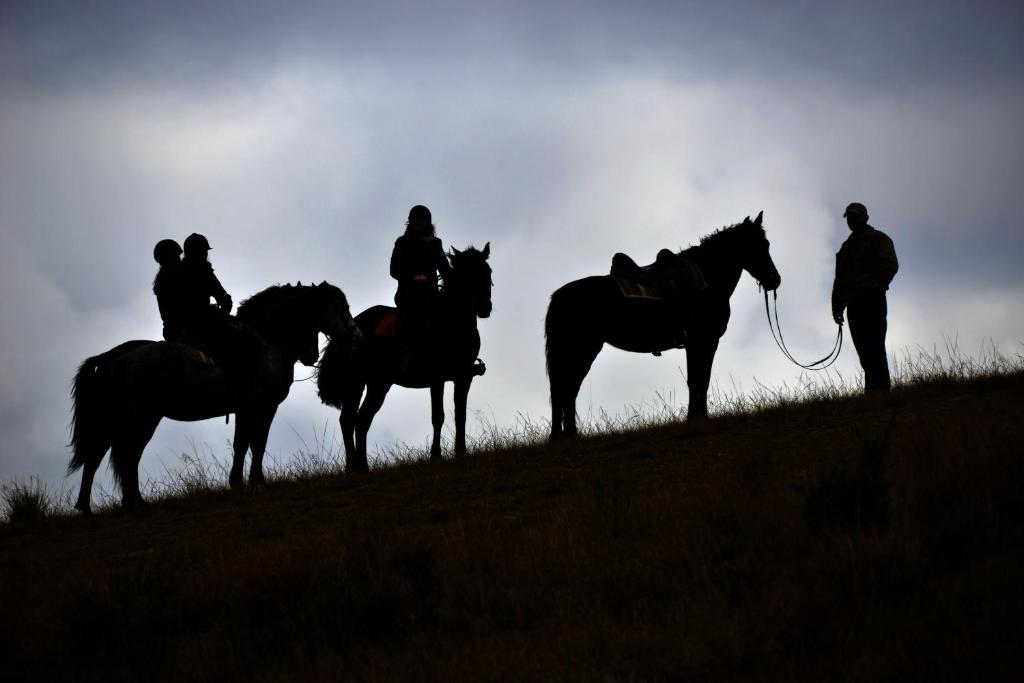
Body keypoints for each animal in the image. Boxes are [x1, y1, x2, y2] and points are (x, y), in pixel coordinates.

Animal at [68, 278, 360, 511]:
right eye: (340, 306)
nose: (356, 336)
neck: (269, 345)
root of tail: (114, 359)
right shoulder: (262, 407)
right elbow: (256, 443)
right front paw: (254, 482)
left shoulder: (247, 410)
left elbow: (245, 445)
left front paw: (242, 483)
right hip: (142, 419)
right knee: (129, 455)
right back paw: (134, 502)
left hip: (113, 420)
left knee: (97, 458)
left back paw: (89, 507)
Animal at [319, 242, 495, 473]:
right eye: (467, 275)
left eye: (487, 271)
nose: (484, 308)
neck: (452, 323)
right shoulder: (437, 378)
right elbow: (438, 416)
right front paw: (435, 456)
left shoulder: (463, 376)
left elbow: (461, 414)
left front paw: (461, 453)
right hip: (366, 383)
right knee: (354, 420)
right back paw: (358, 468)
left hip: (370, 384)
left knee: (355, 420)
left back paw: (358, 467)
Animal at [548, 210, 778, 440]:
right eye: (760, 244)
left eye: (766, 243)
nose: (775, 280)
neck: (707, 281)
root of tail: (560, 295)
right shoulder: (705, 340)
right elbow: (700, 380)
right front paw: (699, 419)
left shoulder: (697, 343)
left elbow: (696, 380)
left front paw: (695, 418)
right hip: (582, 349)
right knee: (565, 388)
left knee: (566, 390)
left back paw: (566, 436)